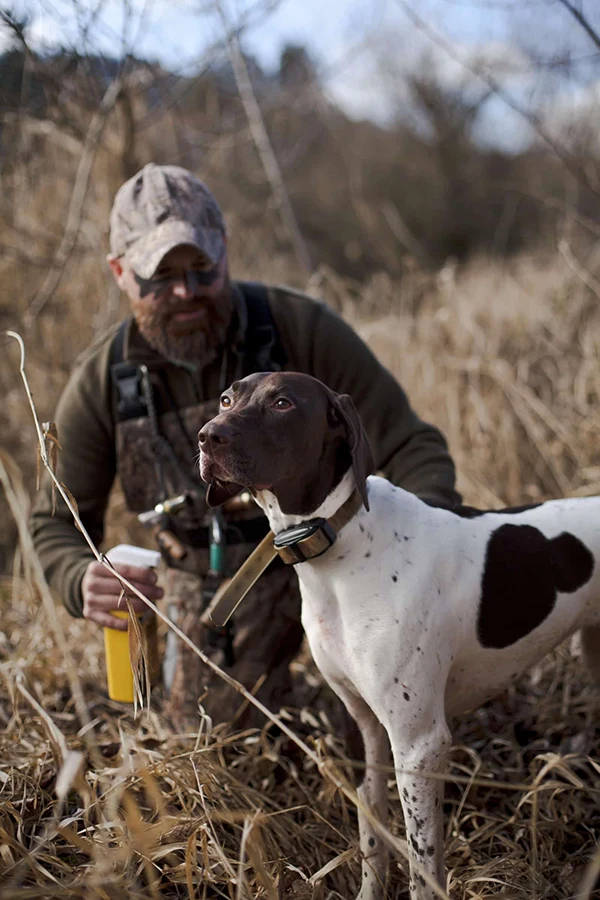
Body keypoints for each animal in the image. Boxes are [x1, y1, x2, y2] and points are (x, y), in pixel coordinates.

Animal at [199, 370, 600, 896]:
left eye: (283, 402)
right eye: (226, 399)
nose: (206, 436)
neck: (341, 541)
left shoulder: (419, 744)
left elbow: (421, 863)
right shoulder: (363, 729)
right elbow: (373, 836)